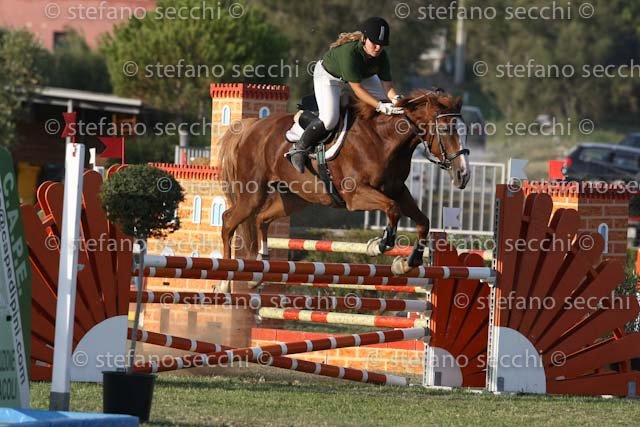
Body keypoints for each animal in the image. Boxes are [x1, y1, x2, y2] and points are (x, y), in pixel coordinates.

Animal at [218, 89, 470, 284]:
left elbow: (423, 221)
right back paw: (224, 280)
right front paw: (379, 244)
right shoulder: (356, 195)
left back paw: (260, 267)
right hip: (252, 194)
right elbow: (392, 209)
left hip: (293, 199)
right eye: (446, 129)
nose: (463, 175)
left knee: (262, 218)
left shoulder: (398, 191)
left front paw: (407, 263)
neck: (383, 140)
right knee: (228, 221)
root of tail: (252, 127)